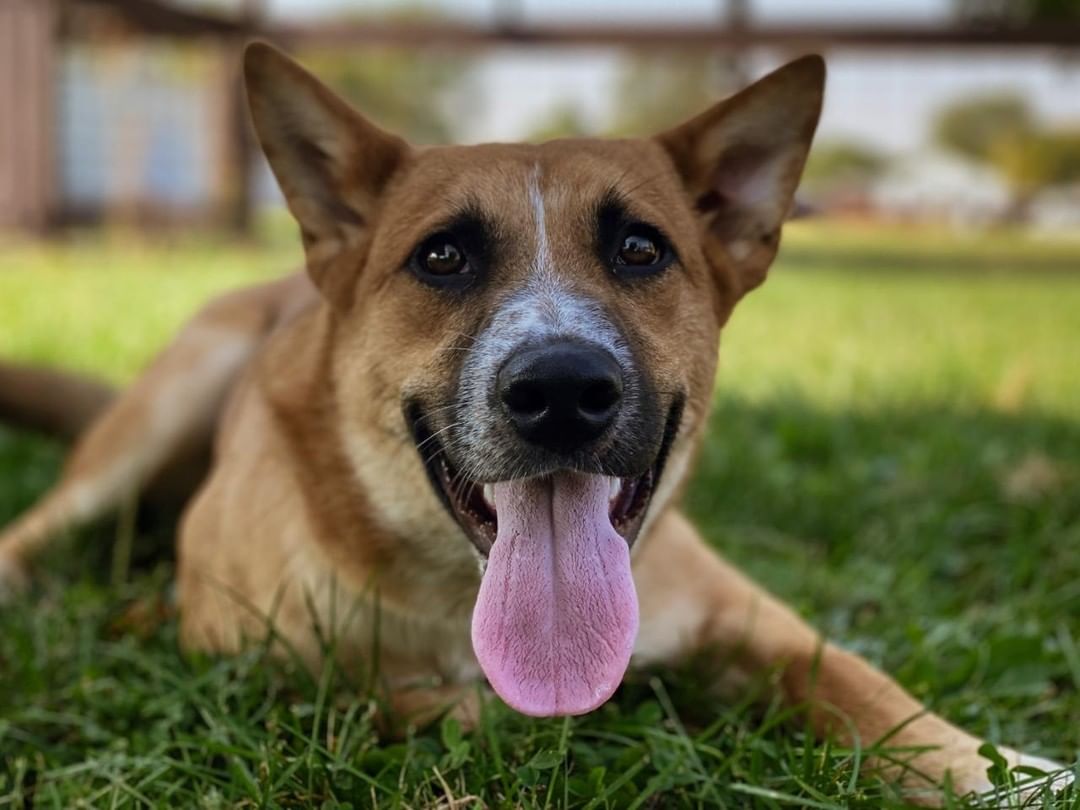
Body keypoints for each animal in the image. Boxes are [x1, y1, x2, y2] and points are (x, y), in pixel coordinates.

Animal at [0, 44, 1071, 807]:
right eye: (442, 257)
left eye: (641, 249)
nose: (561, 390)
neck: (457, 594)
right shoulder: (250, 648)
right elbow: (398, 695)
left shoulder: (747, 616)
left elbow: (866, 685)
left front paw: (1007, 771)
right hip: (160, 410)